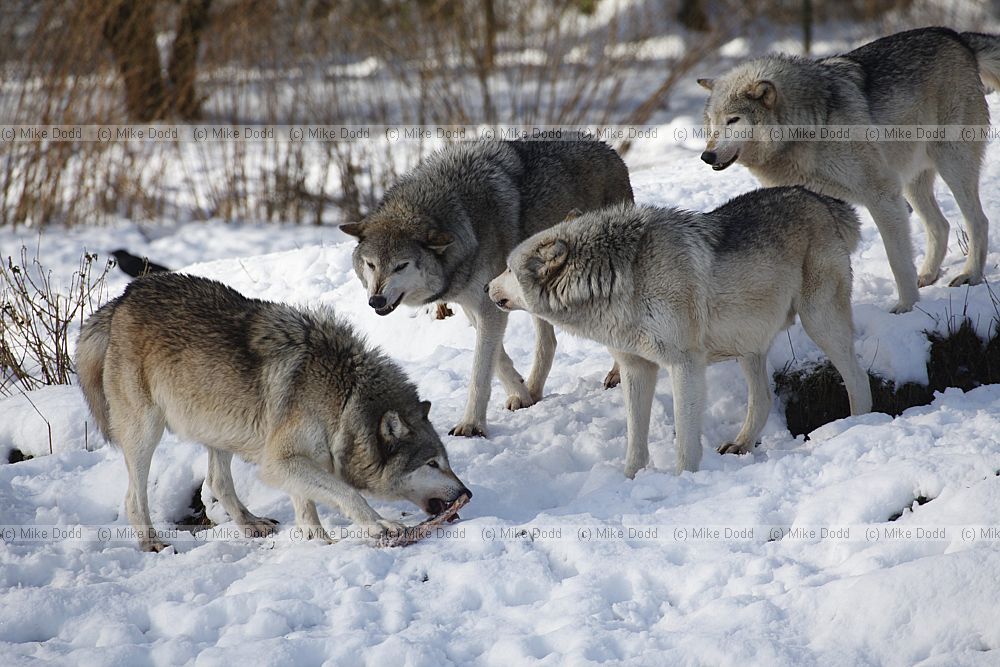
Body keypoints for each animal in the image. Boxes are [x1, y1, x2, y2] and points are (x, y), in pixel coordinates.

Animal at [76, 273, 470, 551]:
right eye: (432, 463)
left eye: (446, 461)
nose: (466, 493)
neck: (344, 398)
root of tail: (122, 298)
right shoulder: (279, 461)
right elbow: (348, 494)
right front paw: (382, 526)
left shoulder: (296, 460)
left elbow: (307, 507)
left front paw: (320, 543)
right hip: (147, 433)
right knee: (134, 496)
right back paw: (151, 542)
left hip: (220, 426)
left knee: (218, 481)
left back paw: (251, 524)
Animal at [340, 138, 634, 437]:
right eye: (371, 264)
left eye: (401, 266)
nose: (376, 300)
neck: (464, 217)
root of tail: (610, 149)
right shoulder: (474, 302)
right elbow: (498, 361)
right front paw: (521, 394)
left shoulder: (488, 305)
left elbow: (480, 371)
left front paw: (471, 424)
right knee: (548, 342)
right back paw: (534, 391)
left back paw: (616, 374)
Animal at [488, 187, 873, 478]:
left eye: (507, 268)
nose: (486, 288)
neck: (624, 279)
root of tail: (822, 200)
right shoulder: (637, 369)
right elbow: (635, 438)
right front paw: (630, 480)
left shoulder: (684, 366)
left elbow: (685, 441)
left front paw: (682, 481)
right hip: (750, 346)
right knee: (763, 399)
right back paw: (741, 444)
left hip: (819, 322)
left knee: (858, 379)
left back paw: (858, 427)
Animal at [698, 28, 1000, 313]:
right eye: (711, 122)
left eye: (733, 120)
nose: (706, 155)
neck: (809, 126)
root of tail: (957, 37)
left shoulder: (882, 195)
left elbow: (897, 260)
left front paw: (907, 307)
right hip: (911, 183)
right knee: (941, 225)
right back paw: (927, 275)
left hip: (952, 164)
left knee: (978, 220)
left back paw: (970, 275)